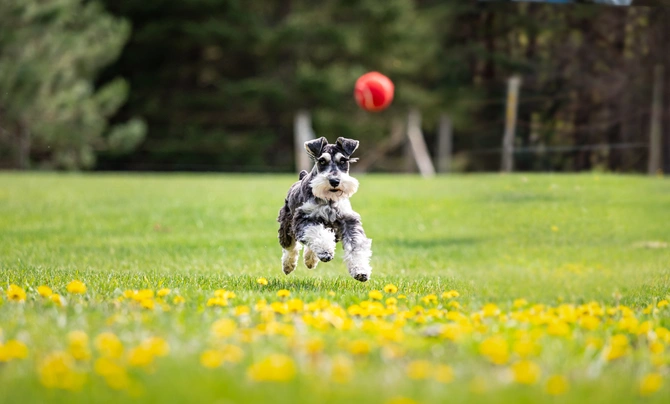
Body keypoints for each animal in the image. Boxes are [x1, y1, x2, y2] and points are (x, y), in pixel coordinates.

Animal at [276, 136, 372, 280]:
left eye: (343, 161)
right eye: (322, 161)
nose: (334, 181)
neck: (329, 199)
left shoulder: (348, 220)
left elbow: (356, 246)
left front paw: (360, 270)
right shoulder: (303, 218)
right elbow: (316, 232)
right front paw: (325, 250)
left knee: (310, 245)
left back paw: (310, 260)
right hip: (286, 223)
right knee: (290, 246)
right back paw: (289, 265)